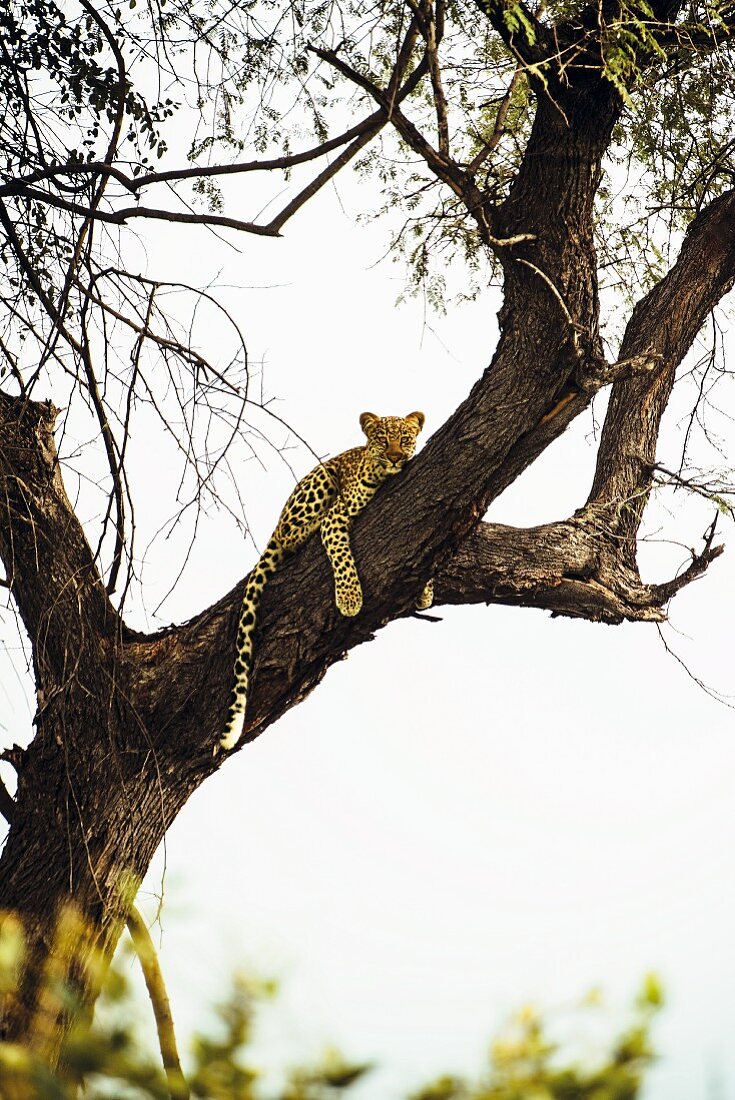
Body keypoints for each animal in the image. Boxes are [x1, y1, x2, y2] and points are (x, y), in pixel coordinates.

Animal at [221, 409, 433, 752]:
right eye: (382, 440)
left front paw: (425, 591)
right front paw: (350, 599)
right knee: (290, 535)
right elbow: (342, 557)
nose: (395, 457)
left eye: (404, 439)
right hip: (318, 482)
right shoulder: (337, 517)